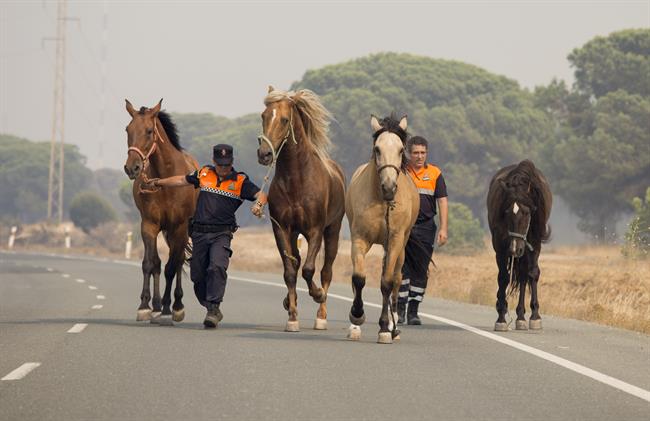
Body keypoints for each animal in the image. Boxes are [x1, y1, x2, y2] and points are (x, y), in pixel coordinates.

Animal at [123, 99, 199, 325]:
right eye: (128, 129)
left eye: (149, 131)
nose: (132, 168)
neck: (166, 180)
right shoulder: (149, 225)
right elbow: (150, 263)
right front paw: (144, 307)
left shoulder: (179, 227)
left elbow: (171, 267)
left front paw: (169, 309)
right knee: (157, 263)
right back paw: (156, 305)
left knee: (178, 261)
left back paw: (175, 305)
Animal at [257, 87, 346, 332]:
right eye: (263, 116)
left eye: (285, 119)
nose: (264, 154)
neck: (297, 179)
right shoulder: (282, 229)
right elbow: (290, 272)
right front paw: (292, 316)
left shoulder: (315, 230)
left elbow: (309, 269)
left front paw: (317, 294)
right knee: (295, 262)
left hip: (333, 230)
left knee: (326, 270)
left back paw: (321, 315)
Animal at [345, 114, 420, 344]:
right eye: (377, 149)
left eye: (401, 149)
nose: (389, 187)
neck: (380, 200)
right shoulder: (359, 238)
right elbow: (358, 278)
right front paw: (356, 316)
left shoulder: (395, 240)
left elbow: (387, 282)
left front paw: (385, 328)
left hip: (401, 247)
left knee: (396, 280)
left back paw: (394, 327)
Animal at [487, 159, 552, 331]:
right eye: (507, 211)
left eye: (527, 213)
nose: (515, 249)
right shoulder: (500, 247)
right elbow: (503, 277)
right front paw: (501, 317)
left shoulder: (534, 244)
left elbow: (533, 274)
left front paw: (535, 316)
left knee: (523, 275)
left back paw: (522, 316)